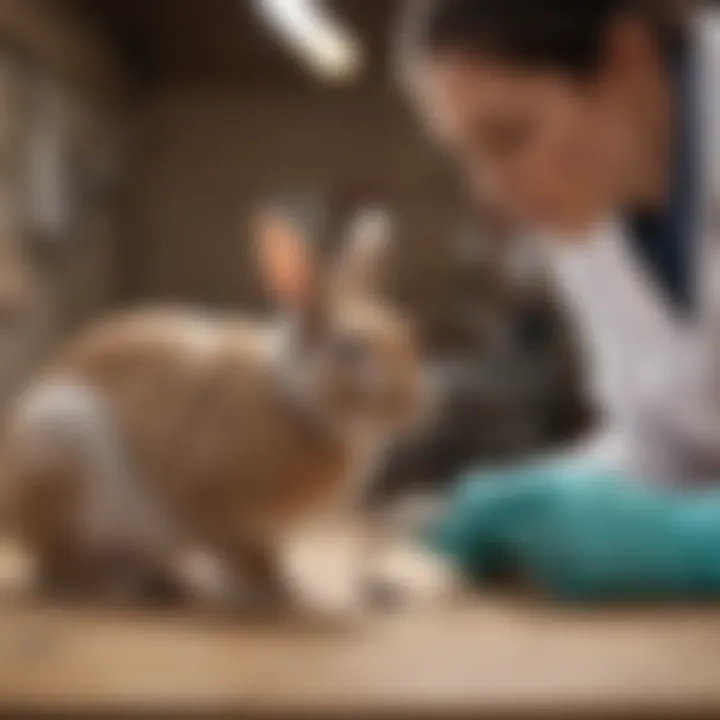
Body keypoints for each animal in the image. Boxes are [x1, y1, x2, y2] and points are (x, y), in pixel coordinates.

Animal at [0, 202, 444, 612]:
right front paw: (275, 592)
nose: (412, 408)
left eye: (408, 336)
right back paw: (125, 585)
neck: (295, 401)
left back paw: (168, 582)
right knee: (60, 566)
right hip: (62, 451)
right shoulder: (218, 503)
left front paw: (286, 586)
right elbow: (243, 552)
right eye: (350, 348)